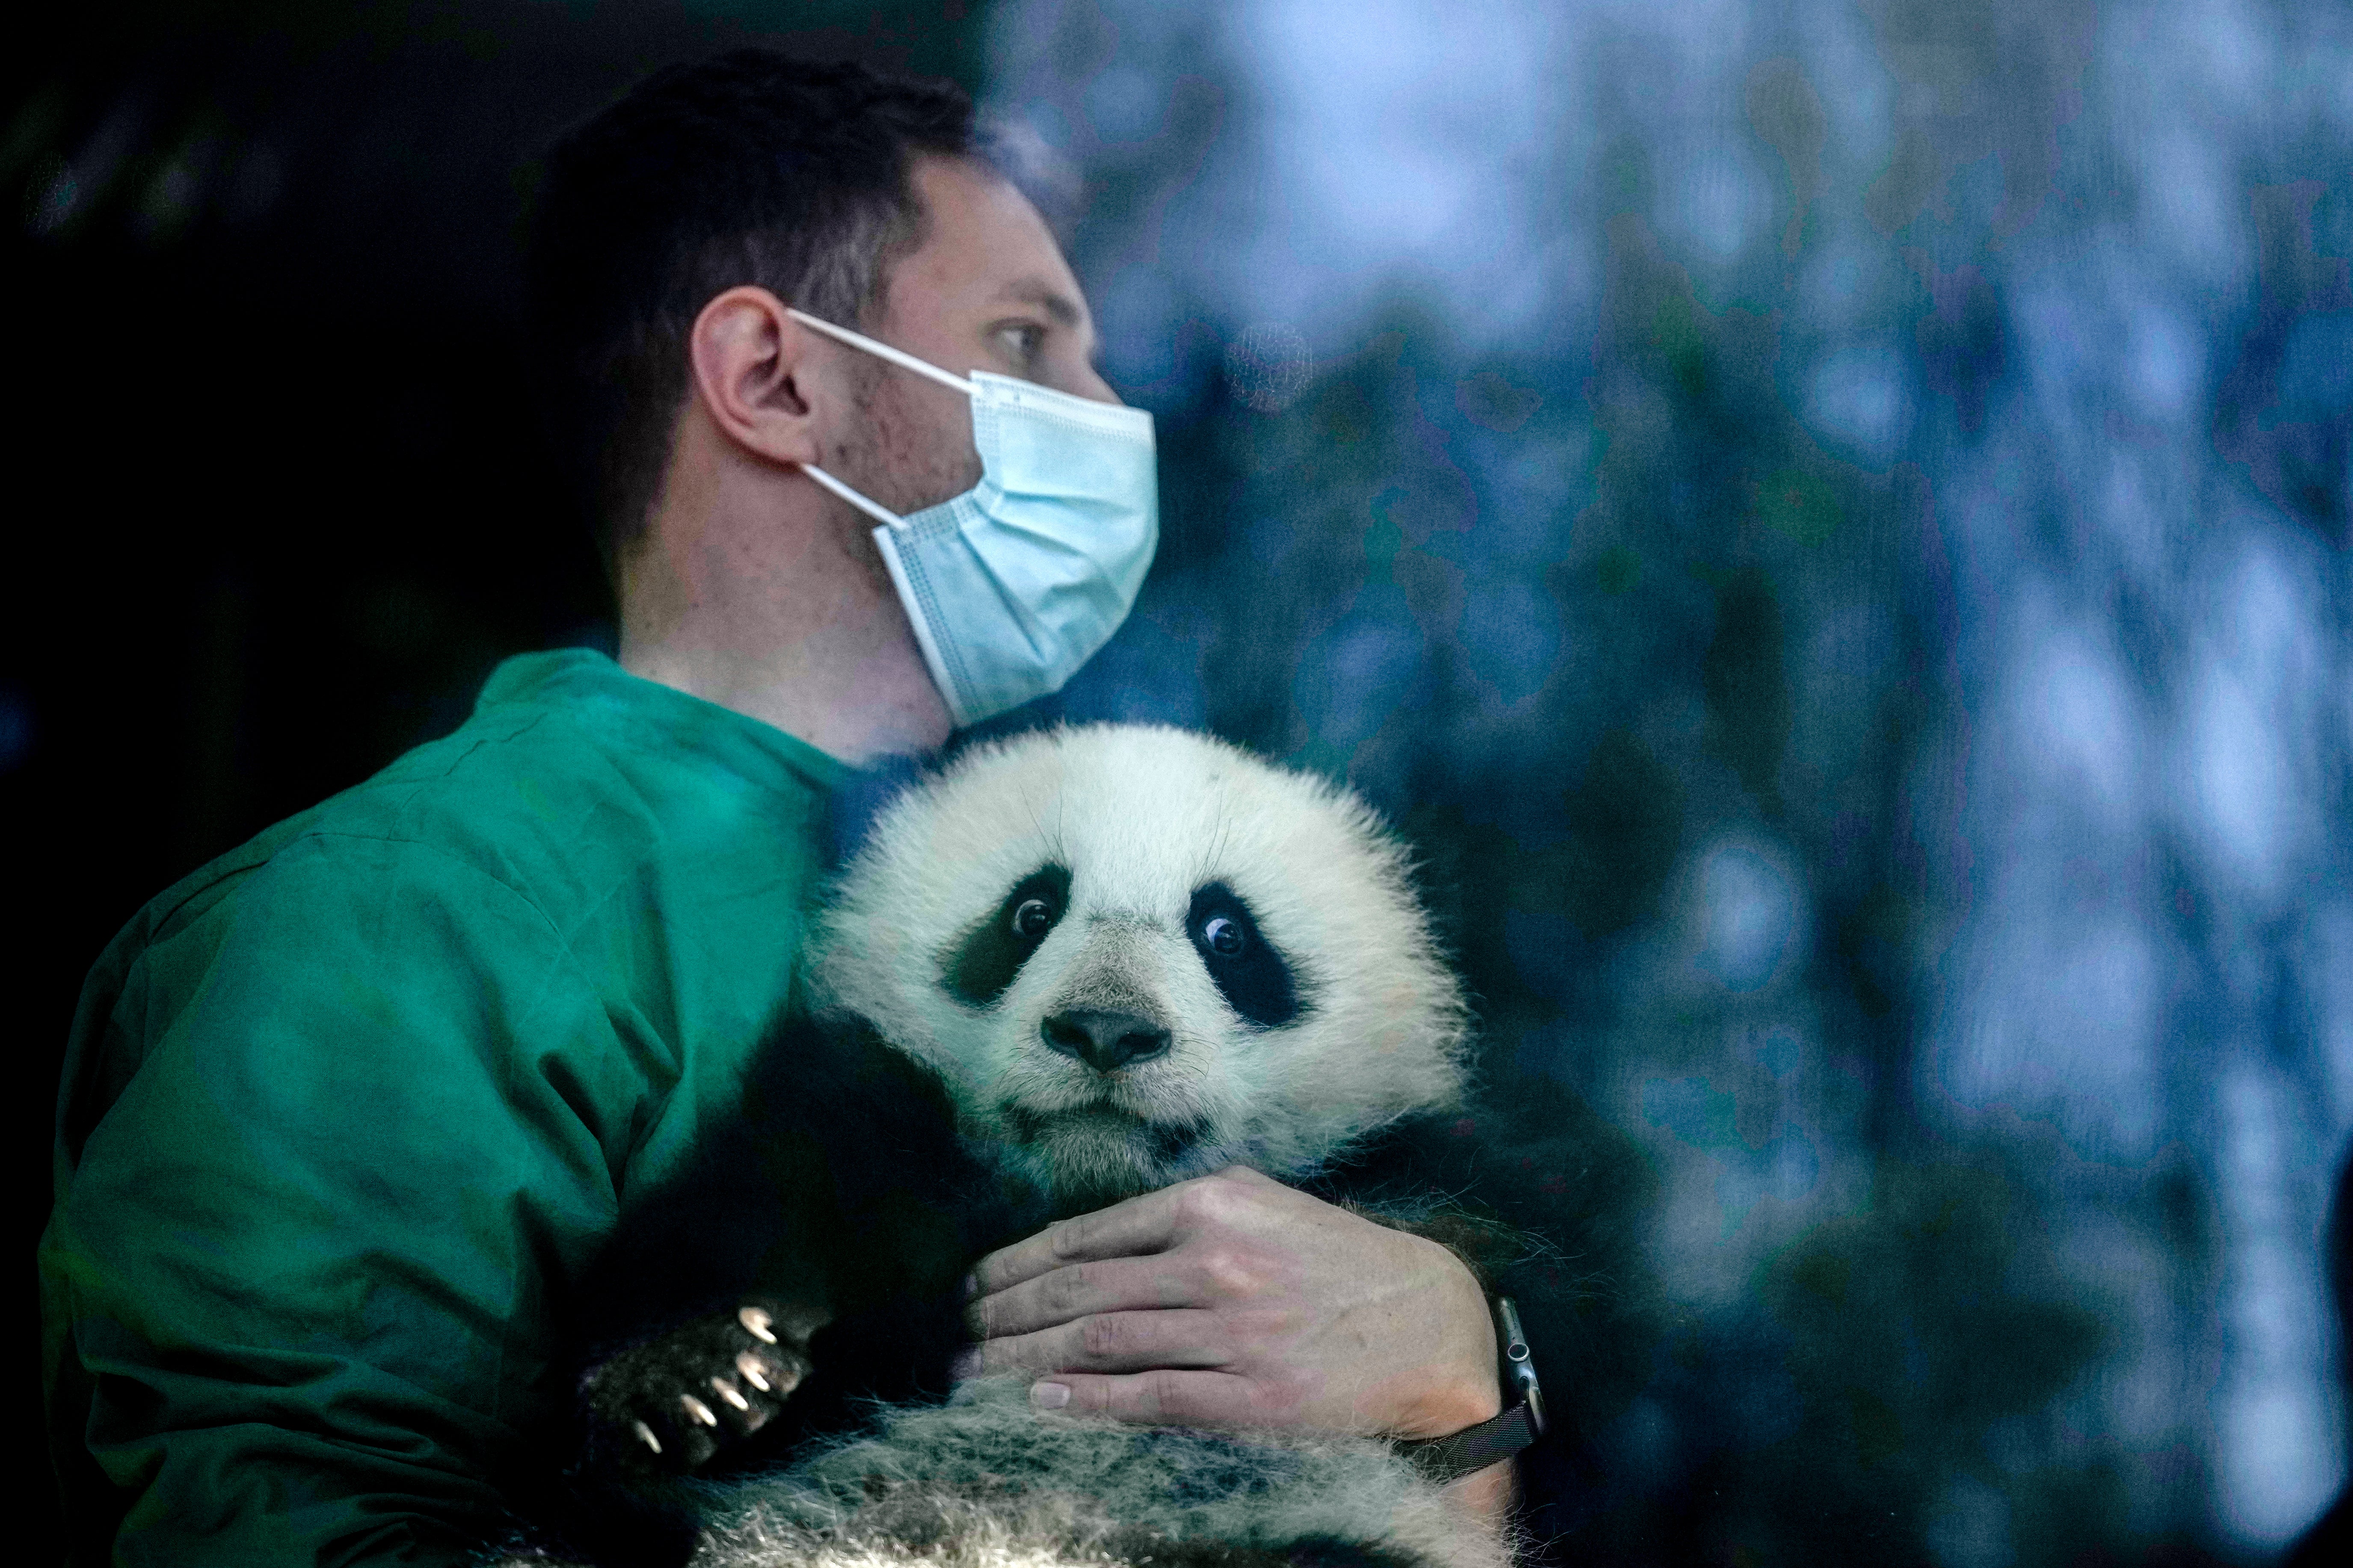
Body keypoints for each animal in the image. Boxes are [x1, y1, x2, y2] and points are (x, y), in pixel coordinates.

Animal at [505, 725, 1627, 1568]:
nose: (1103, 1030)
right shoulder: (872, 1128)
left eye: (1226, 934)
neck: (1081, 1195)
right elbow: (735, 1215)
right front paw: (689, 1377)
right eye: (1029, 911)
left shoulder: (1417, 1179)